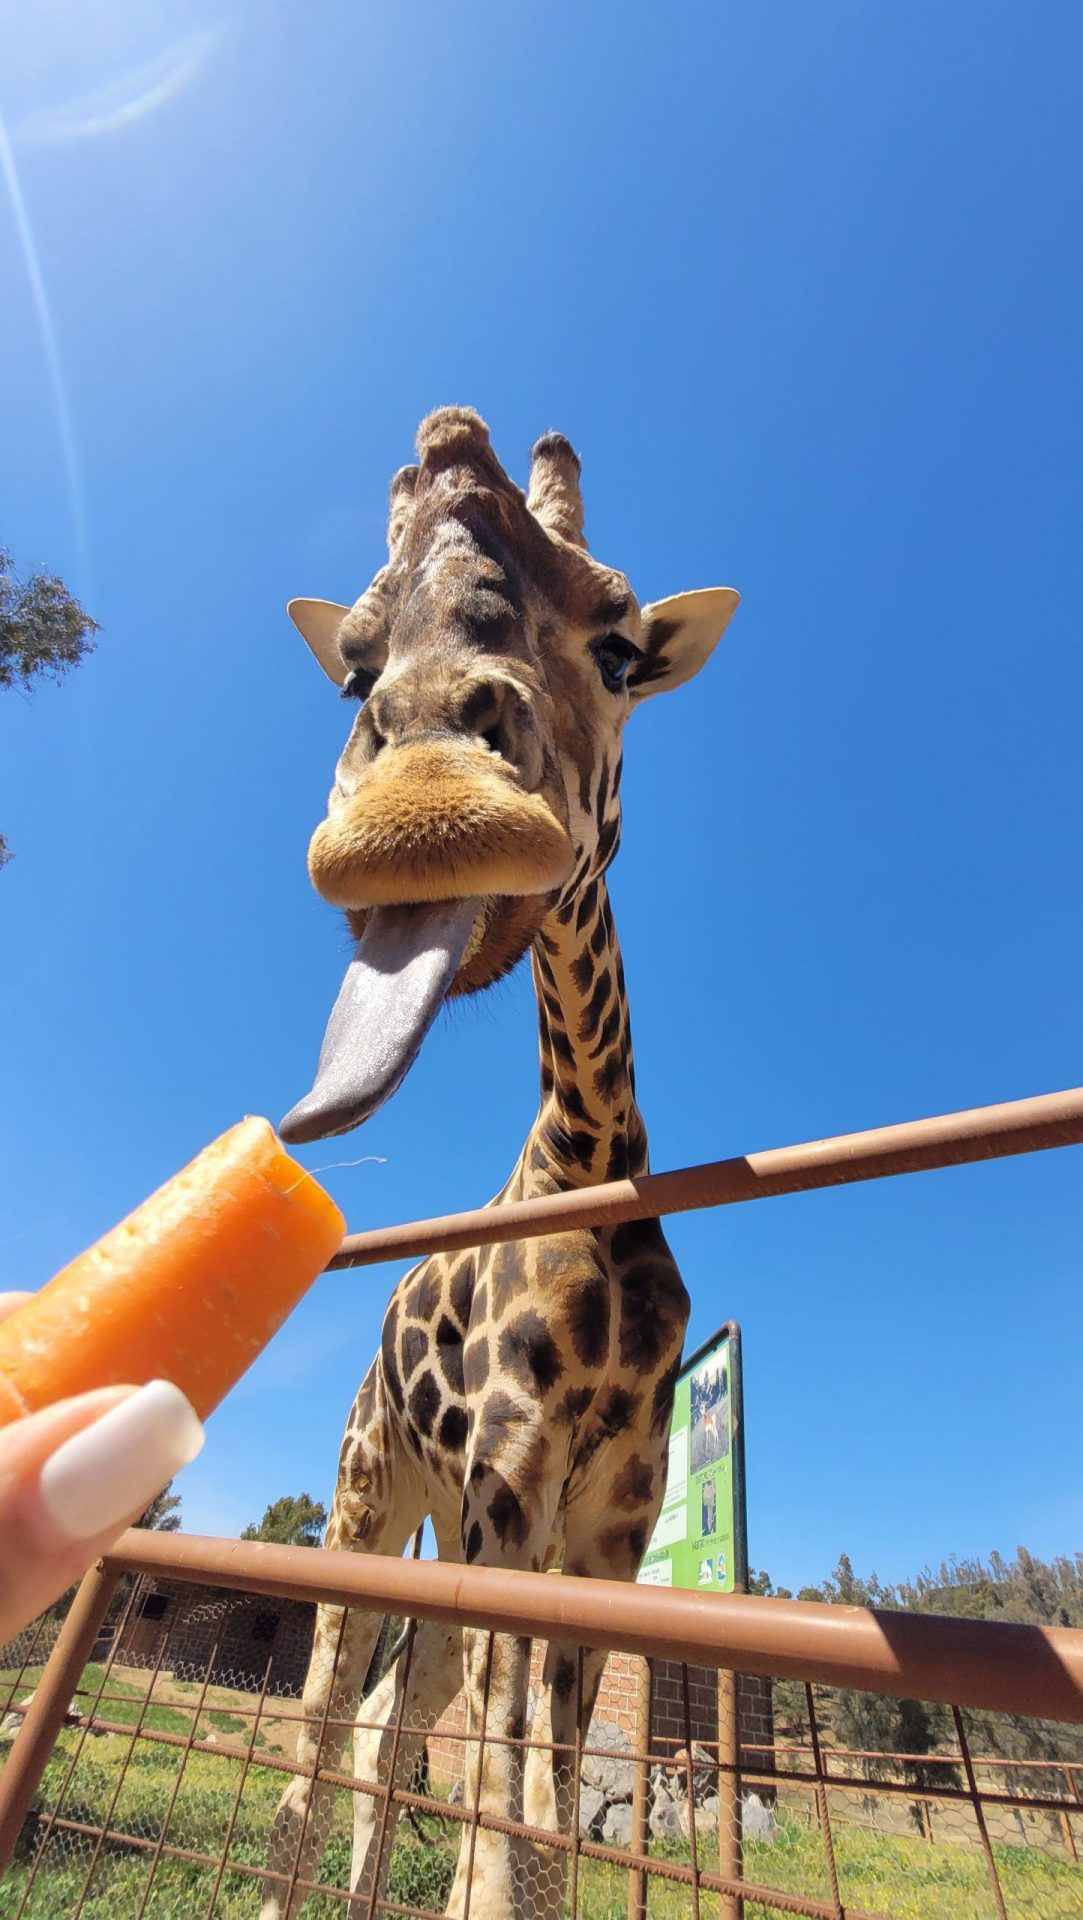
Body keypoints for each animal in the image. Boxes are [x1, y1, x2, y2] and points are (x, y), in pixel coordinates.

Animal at [261, 407, 739, 1919]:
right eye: (354, 662)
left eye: (621, 645)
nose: (425, 806)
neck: (588, 1155)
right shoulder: (509, 1473)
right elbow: (498, 1816)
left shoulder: (612, 1509)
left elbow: (543, 1821)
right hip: (370, 1496)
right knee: (317, 1748)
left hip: (432, 1526)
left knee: (386, 1737)